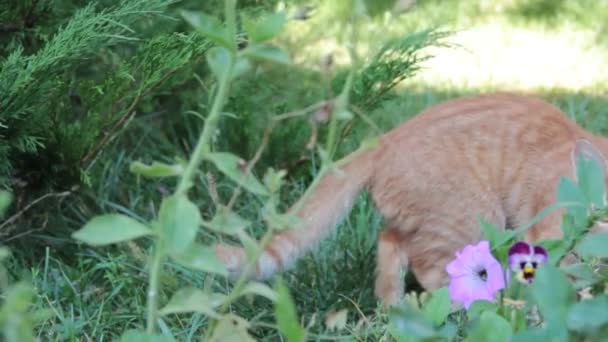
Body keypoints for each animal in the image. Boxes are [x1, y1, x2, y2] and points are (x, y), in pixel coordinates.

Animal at [214, 92, 608, 306]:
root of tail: (387, 138)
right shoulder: (545, 242)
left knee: (391, 242)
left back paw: (394, 307)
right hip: (472, 219)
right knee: (435, 270)